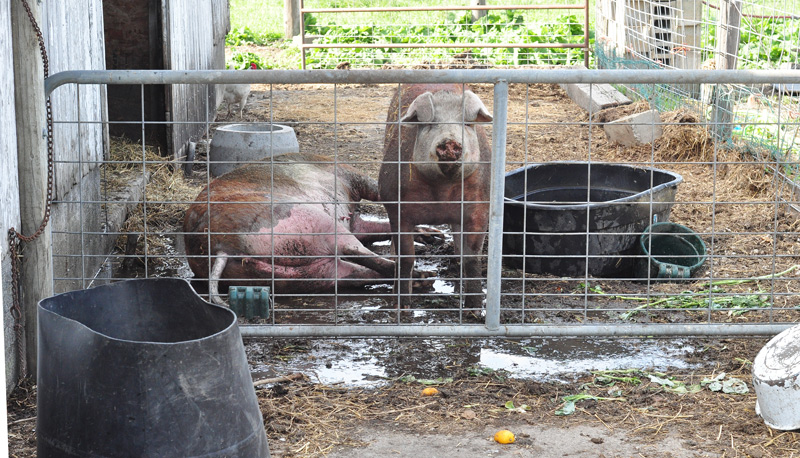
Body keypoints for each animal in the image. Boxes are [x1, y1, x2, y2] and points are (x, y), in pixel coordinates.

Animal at [183, 152, 396, 304]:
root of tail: (221, 247)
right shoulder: (349, 175)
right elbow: (377, 190)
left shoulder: (355, 221)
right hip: (311, 218)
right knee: (352, 249)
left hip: (306, 275)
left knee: (357, 272)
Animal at [379, 84, 493, 309]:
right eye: (430, 123)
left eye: (467, 123)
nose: (449, 142)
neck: (442, 191)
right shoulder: (396, 208)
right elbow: (407, 258)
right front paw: (402, 307)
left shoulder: (480, 207)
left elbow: (472, 258)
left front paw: (475, 309)